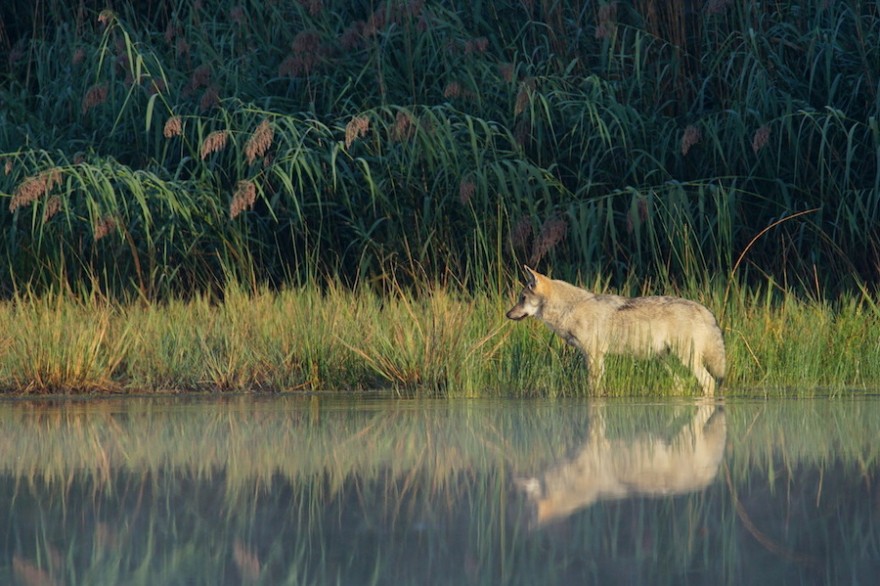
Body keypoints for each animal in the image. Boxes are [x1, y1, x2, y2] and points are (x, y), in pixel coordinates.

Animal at [506, 266, 724, 394]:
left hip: (686, 360)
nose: (508, 314)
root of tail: (703, 309)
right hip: (667, 362)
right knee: (682, 385)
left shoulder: (594, 356)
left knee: (709, 382)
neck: (570, 308)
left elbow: (593, 389)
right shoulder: (598, 357)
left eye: (522, 298)